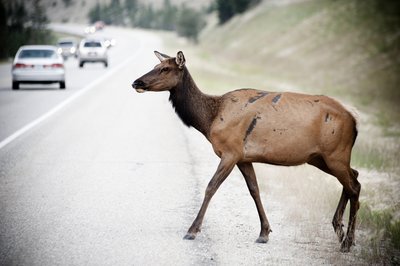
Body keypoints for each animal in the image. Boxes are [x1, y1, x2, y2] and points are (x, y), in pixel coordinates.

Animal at [133, 51, 360, 252]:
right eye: (155, 66)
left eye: (165, 69)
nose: (136, 82)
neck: (208, 120)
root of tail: (354, 120)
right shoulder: (244, 157)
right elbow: (254, 190)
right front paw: (264, 233)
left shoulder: (230, 151)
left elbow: (211, 187)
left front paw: (192, 230)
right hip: (320, 158)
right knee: (354, 177)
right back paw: (339, 230)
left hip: (336, 153)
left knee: (354, 186)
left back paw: (347, 242)